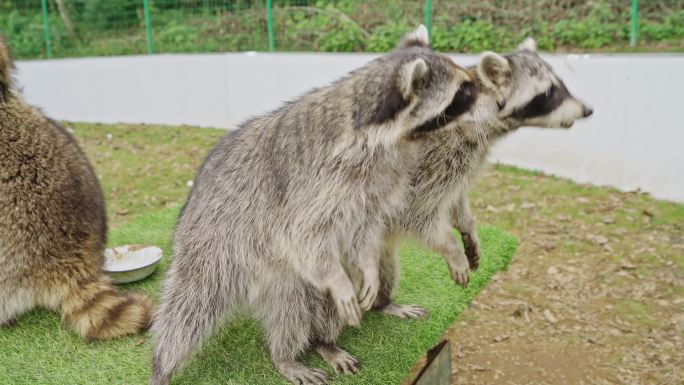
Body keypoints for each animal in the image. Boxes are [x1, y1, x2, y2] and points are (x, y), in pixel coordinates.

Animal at [152, 25, 478, 384]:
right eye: (462, 90)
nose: (487, 85)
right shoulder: (318, 184)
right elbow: (303, 234)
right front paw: (341, 282)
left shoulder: (373, 185)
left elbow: (365, 230)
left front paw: (369, 267)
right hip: (218, 245)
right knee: (207, 306)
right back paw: (283, 354)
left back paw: (339, 332)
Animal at [372, 37, 592, 318]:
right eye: (548, 93)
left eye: (561, 85)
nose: (588, 111)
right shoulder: (427, 160)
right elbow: (415, 212)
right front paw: (450, 246)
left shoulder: (462, 161)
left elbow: (455, 197)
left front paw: (467, 225)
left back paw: (382, 301)